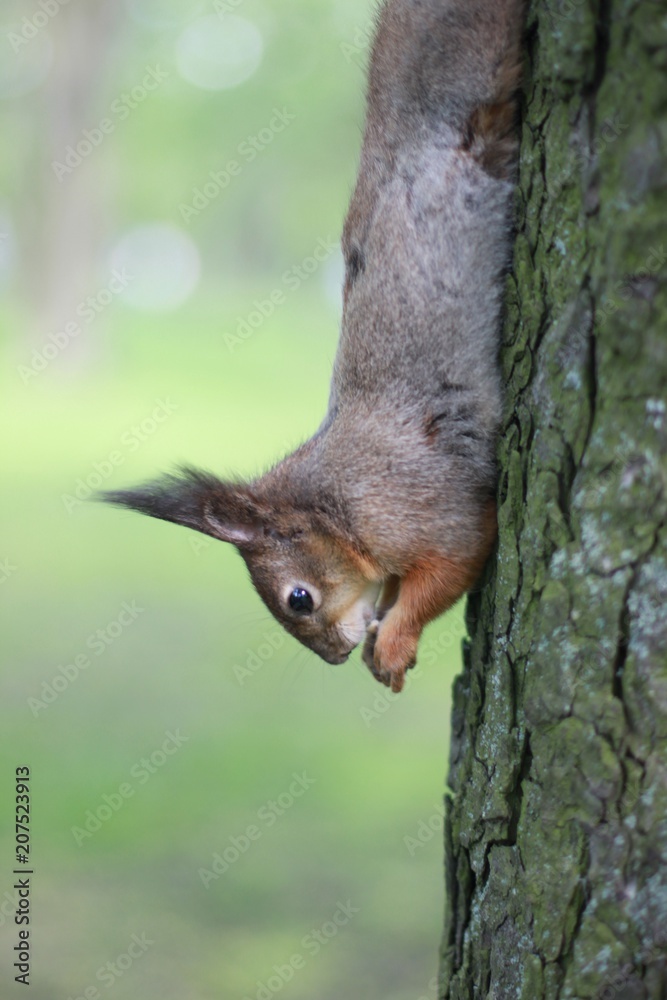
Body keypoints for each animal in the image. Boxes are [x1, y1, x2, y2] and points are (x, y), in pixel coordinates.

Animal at [103, 0, 528, 692]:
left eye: (297, 599)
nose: (333, 656)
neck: (332, 502)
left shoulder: (417, 505)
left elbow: (451, 564)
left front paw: (393, 642)